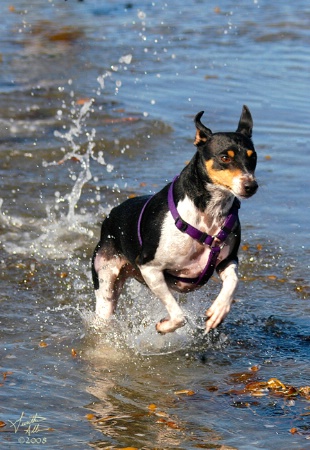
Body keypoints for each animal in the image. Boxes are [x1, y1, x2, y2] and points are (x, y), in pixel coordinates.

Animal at [92, 106, 260, 334]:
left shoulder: (227, 260)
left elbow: (233, 281)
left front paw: (218, 311)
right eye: (225, 157)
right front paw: (165, 326)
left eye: (253, 157)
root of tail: (110, 217)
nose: (251, 186)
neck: (207, 212)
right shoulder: (150, 268)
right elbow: (179, 316)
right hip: (106, 281)